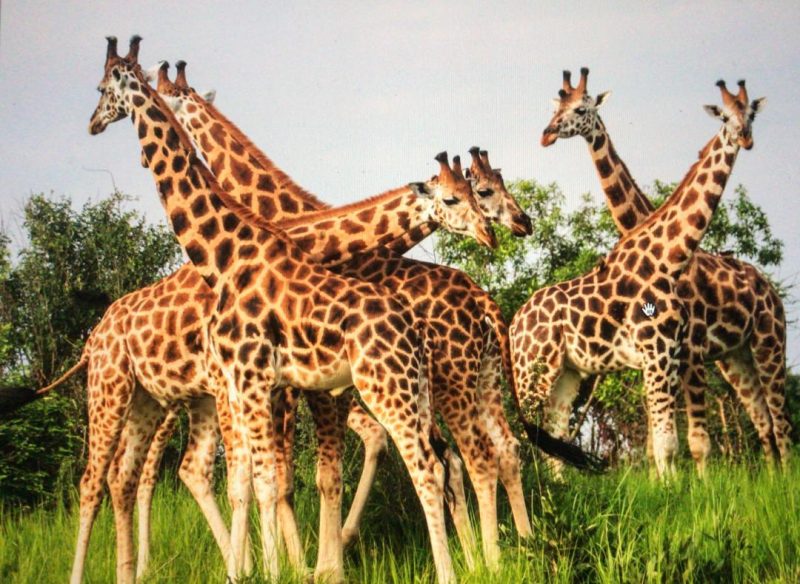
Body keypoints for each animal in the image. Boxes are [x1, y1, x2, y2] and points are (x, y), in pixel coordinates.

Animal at [84, 36, 460, 584]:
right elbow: (273, 479)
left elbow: (277, 479)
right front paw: (293, 565)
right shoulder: (260, 385)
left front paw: (291, 567)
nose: (92, 122)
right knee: (133, 473)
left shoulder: (263, 383)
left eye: (100, 88)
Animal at [536, 66, 788, 472]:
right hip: (736, 356)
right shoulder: (661, 354)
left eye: (581, 109)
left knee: (781, 423)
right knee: (763, 421)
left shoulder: (691, 349)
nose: (547, 133)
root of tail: (769, 288)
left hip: (770, 341)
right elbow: (657, 439)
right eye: (558, 106)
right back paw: (772, 476)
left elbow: (696, 441)